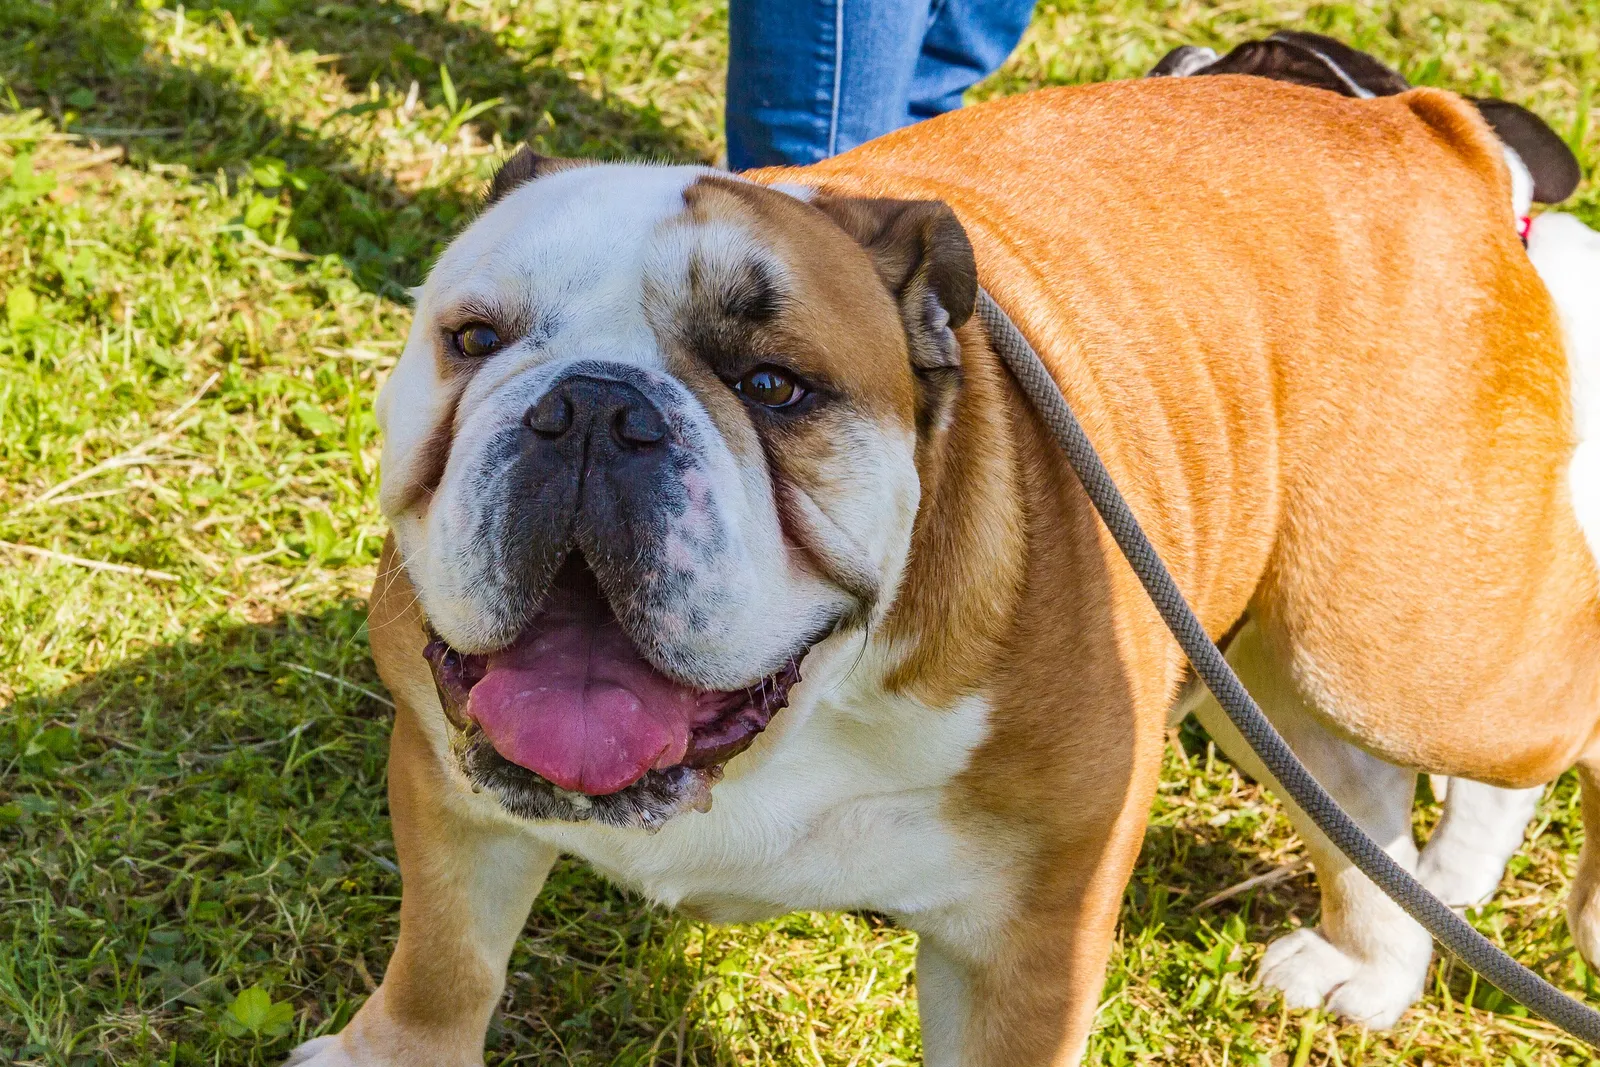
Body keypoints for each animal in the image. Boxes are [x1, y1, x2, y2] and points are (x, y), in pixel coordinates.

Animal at [291, 68, 1600, 1067]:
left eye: (774, 386)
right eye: (475, 339)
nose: (593, 407)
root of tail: (1417, 126)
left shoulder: (1026, 939)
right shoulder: (449, 781)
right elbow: (446, 956)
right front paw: (390, 1054)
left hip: (1407, 655)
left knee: (1543, 717)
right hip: (1265, 666)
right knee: (1353, 788)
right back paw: (1366, 963)